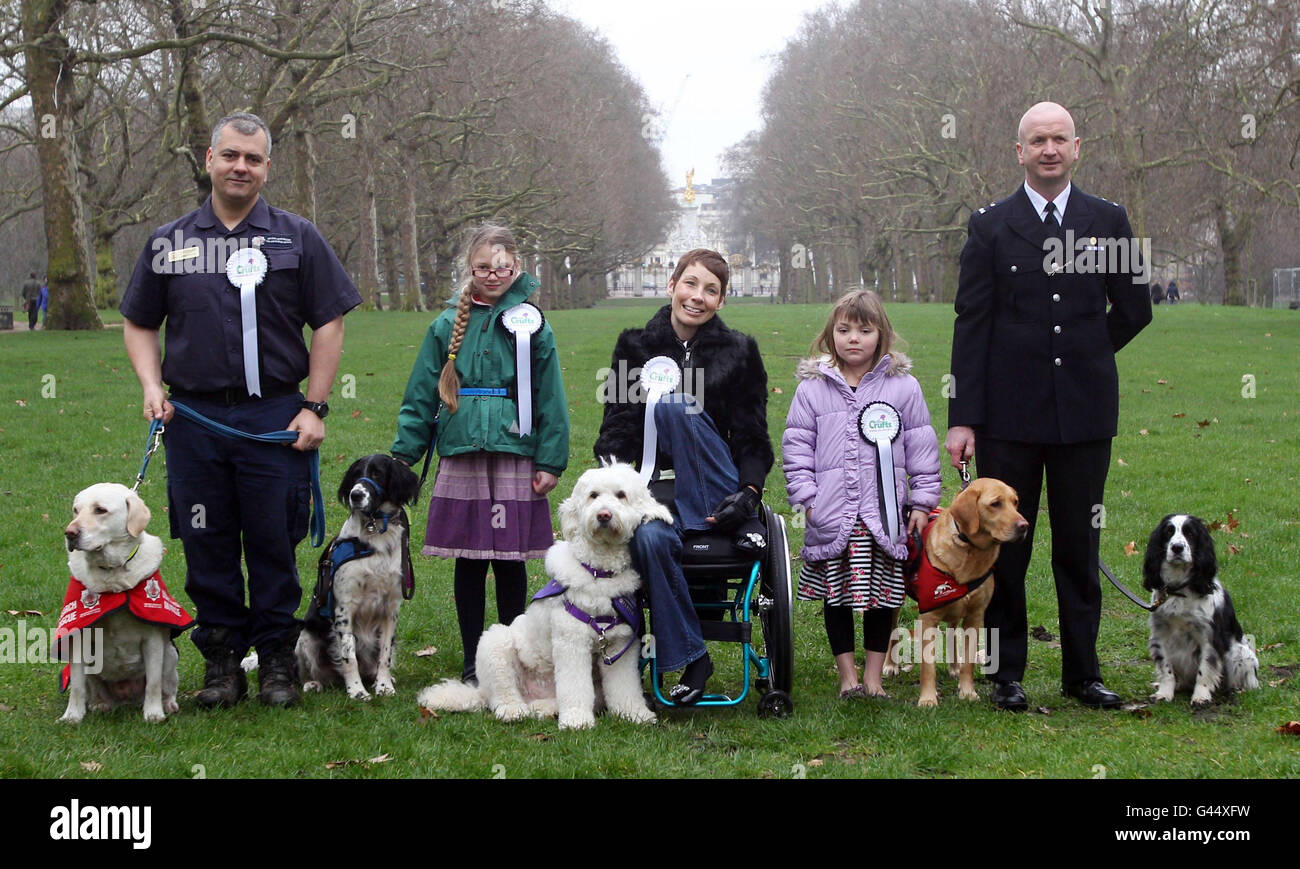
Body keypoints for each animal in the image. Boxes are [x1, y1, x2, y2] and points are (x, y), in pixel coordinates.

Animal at [421, 460, 670, 728]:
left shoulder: (620, 645)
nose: (603, 515)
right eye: (593, 495)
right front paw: (576, 721)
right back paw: (513, 710)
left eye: (621, 495)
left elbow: (625, 686)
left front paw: (634, 713)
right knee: (501, 695)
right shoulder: (571, 642)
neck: (600, 573)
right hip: (495, 643)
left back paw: (545, 709)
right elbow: (574, 686)